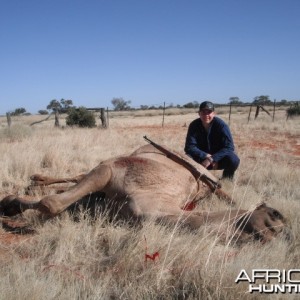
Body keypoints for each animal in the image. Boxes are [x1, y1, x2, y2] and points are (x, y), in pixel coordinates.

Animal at [0, 142, 288, 243]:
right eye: (273, 221)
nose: (283, 237)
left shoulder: (103, 206)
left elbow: (59, 202)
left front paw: (13, 204)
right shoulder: (109, 171)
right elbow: (51, 204)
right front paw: (9, 204)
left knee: (74, 181)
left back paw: (33, 183)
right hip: (117, 160)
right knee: (78, 176)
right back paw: (33, 181)